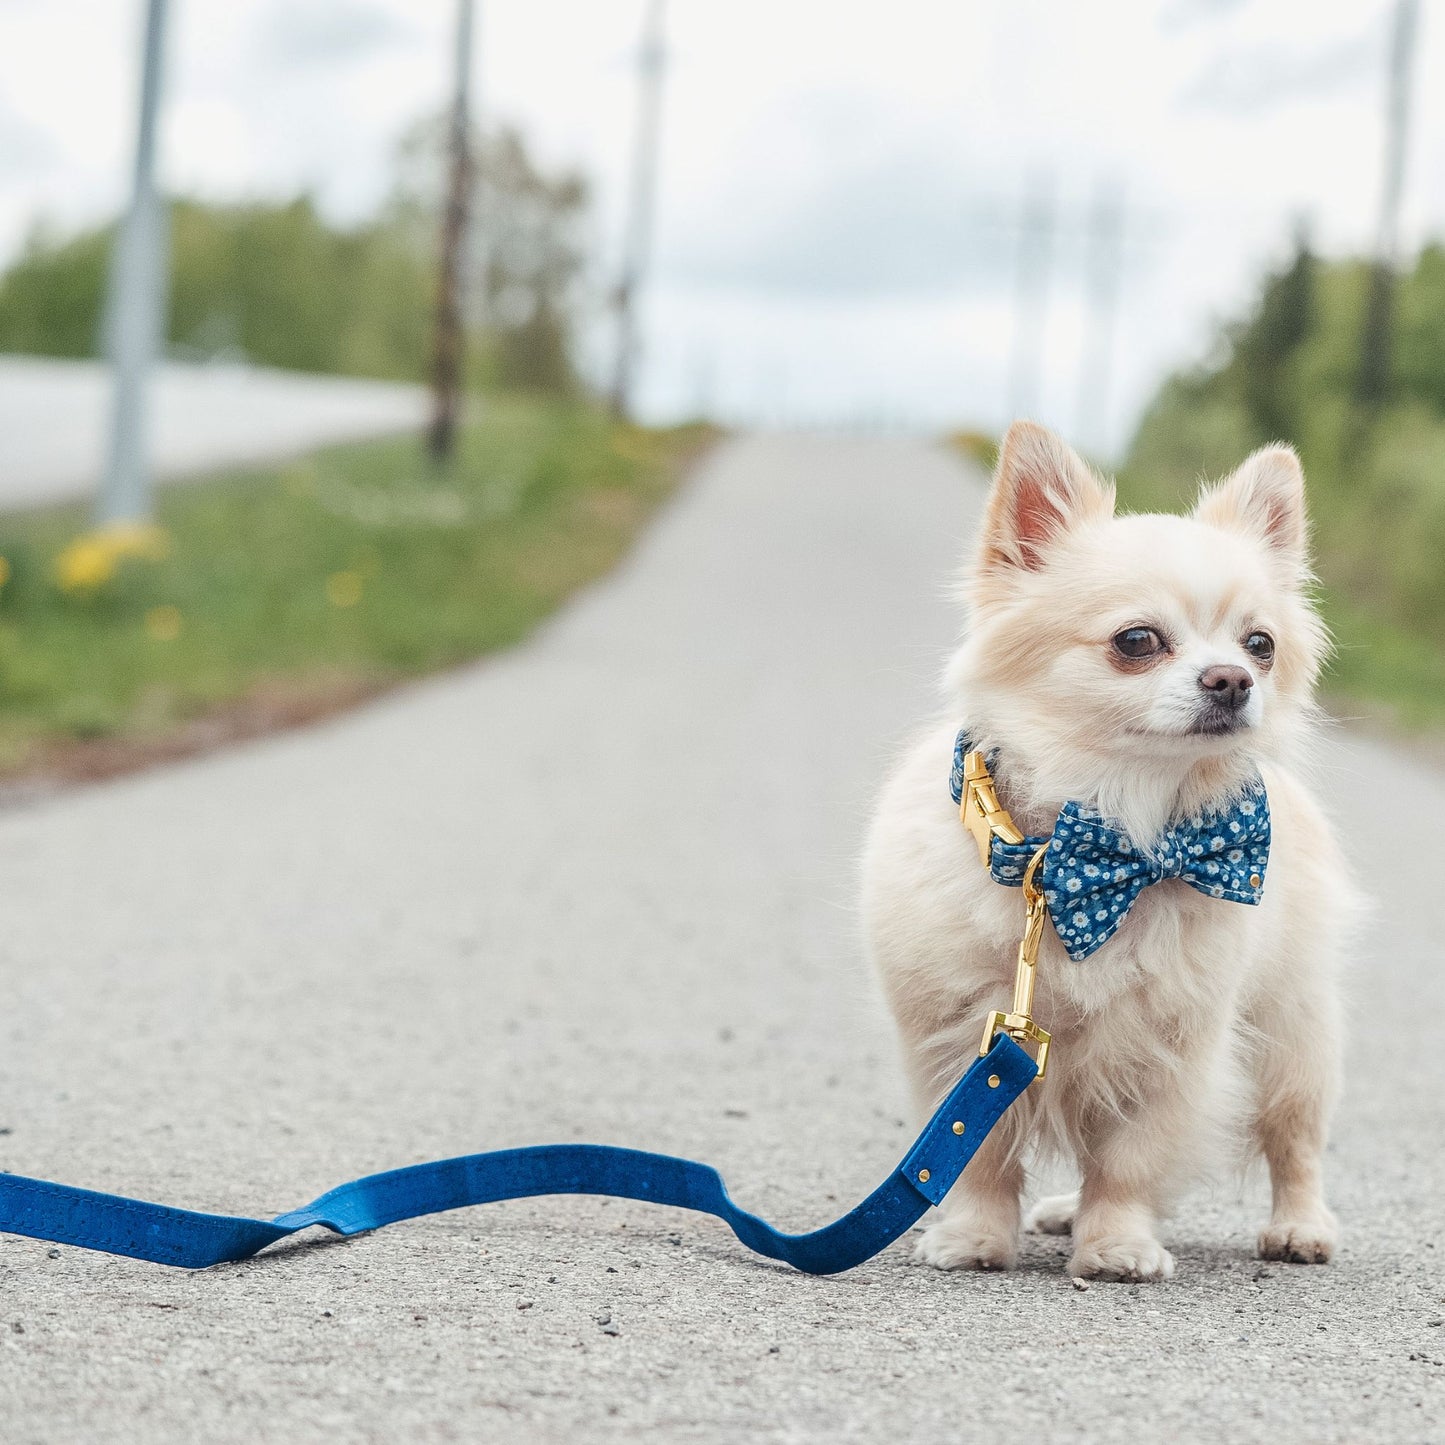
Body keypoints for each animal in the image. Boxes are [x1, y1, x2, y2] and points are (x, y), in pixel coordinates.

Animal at [867, 421, 1352, 1283]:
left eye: (1259, 644)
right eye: (1137, 640)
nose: (1233, 678)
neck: (1103, 847)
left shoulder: (1172, 1050)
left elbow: (1130, 1160)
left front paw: (1118, 1245)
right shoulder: (966, 1039)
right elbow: (978, 1149)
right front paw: (975, 1237)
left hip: (1292, 1035)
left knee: (1292, 1140)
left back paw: (1300, 1226)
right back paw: (1061, 1211)